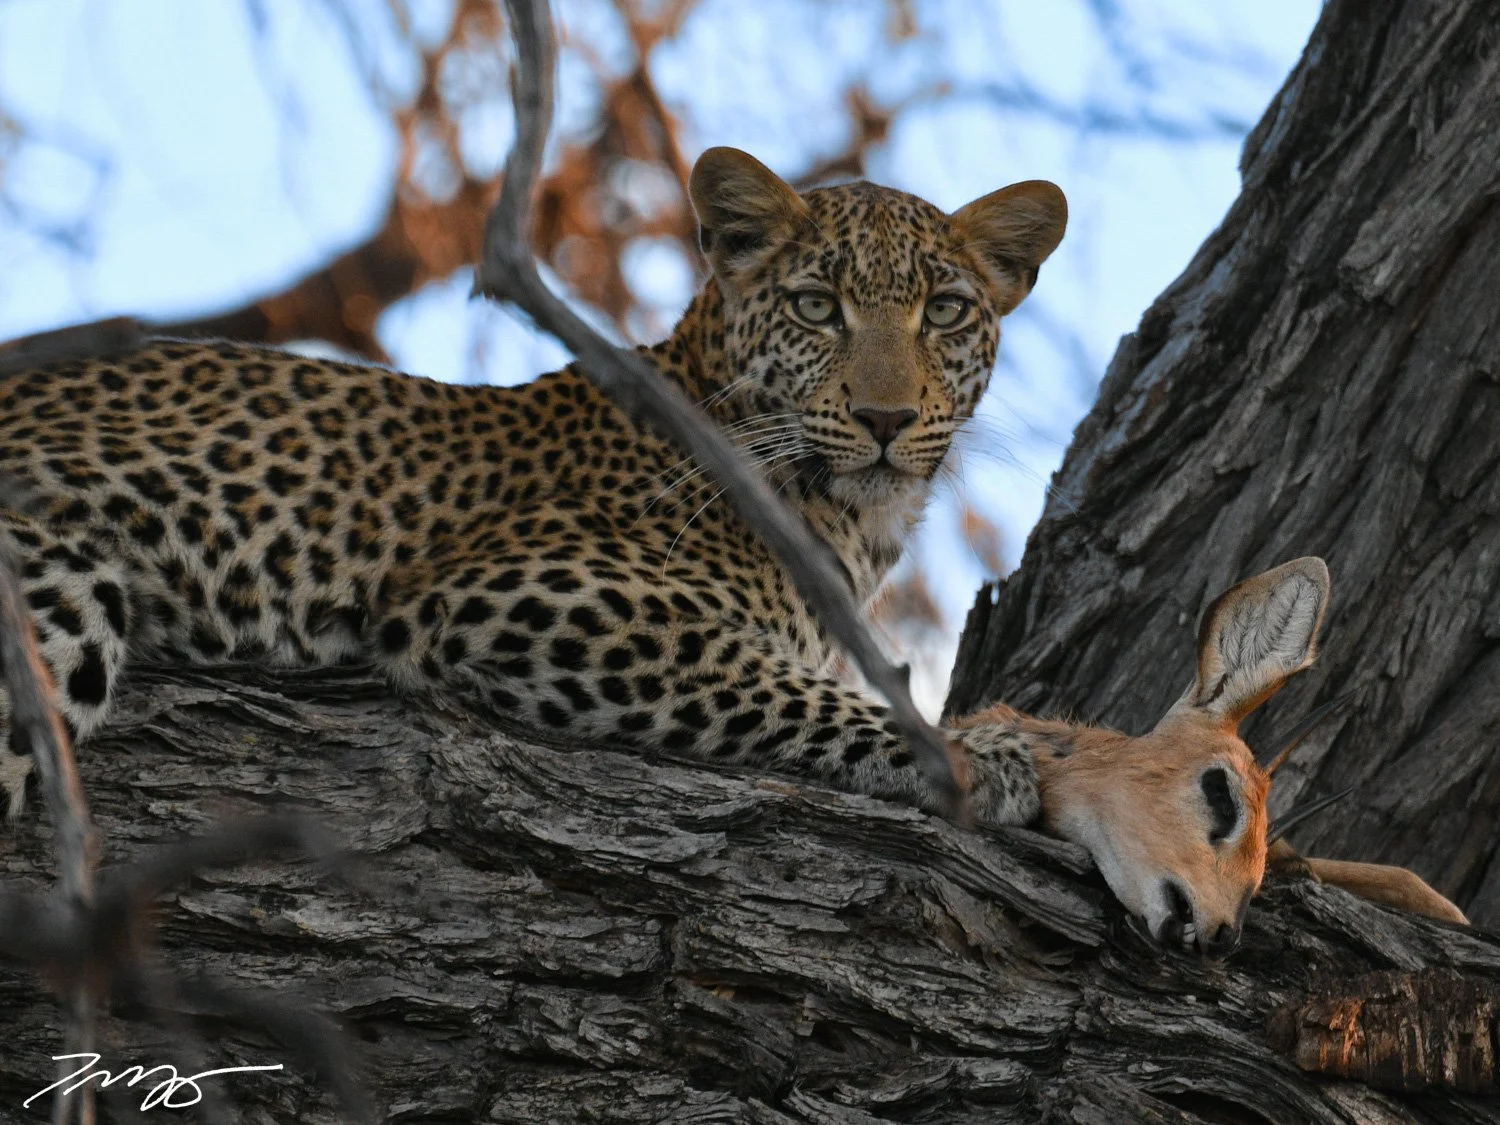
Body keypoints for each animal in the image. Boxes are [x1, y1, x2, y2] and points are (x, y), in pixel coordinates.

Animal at [0, 147, 1068, 845]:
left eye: (946, 311)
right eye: (816, 306)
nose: (886, 417)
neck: (851, 520)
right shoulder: (523, 592)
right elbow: (785, 683)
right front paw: (976, 755)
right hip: (58, 585)